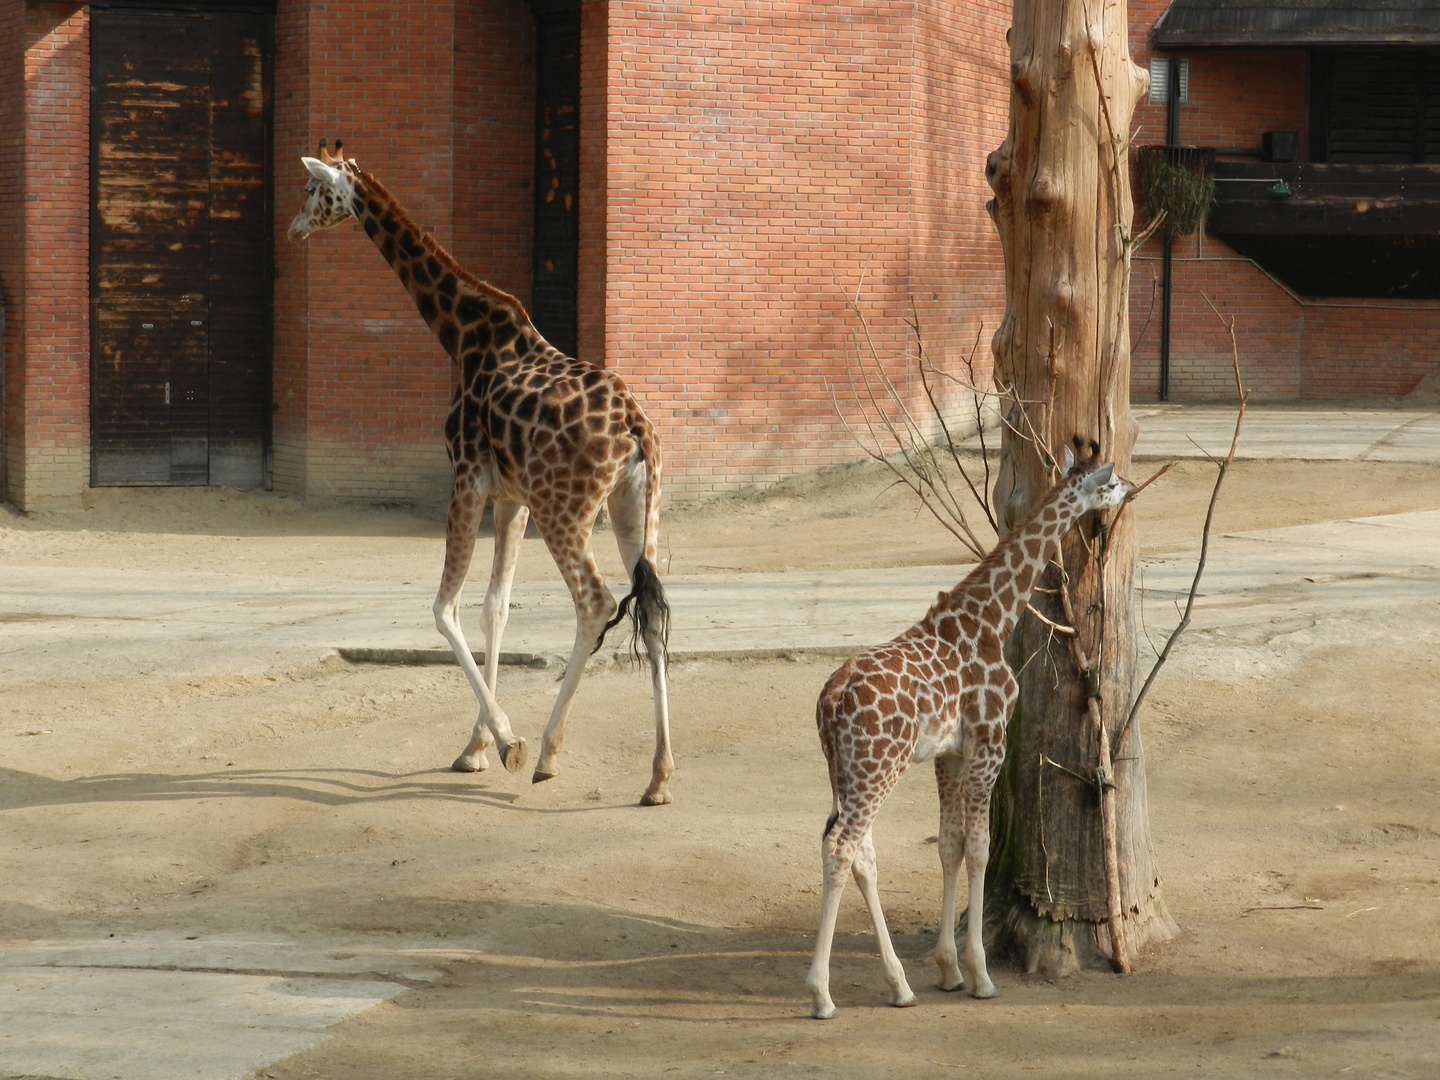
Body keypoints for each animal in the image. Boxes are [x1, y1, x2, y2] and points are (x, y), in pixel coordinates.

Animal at [292, 141, 679, 806]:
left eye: (314, 190)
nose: (293, 228)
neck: (461, 333)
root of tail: (635, 427)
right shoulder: (510, 497)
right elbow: (494, 608)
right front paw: (474, 745)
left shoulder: (469, 479)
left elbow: (445, 608)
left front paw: (506, 742)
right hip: (635, 508)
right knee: (652, 612)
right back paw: (658, 777)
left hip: (566, 510)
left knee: (597, 603)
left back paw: (549, 752)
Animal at [806, 443, 1128, 1019]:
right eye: (1108, 484)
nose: (1131, 489)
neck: (992, 619)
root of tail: (831, 700)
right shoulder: (989, 741)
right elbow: (979, 849)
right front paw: (980, 974)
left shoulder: (949, 753)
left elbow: (950, 845)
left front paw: (948, 969)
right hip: (878, 766)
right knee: (842, 848)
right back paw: (822, 995)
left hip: (845, 770)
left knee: (860, 851)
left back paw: (899, 985)